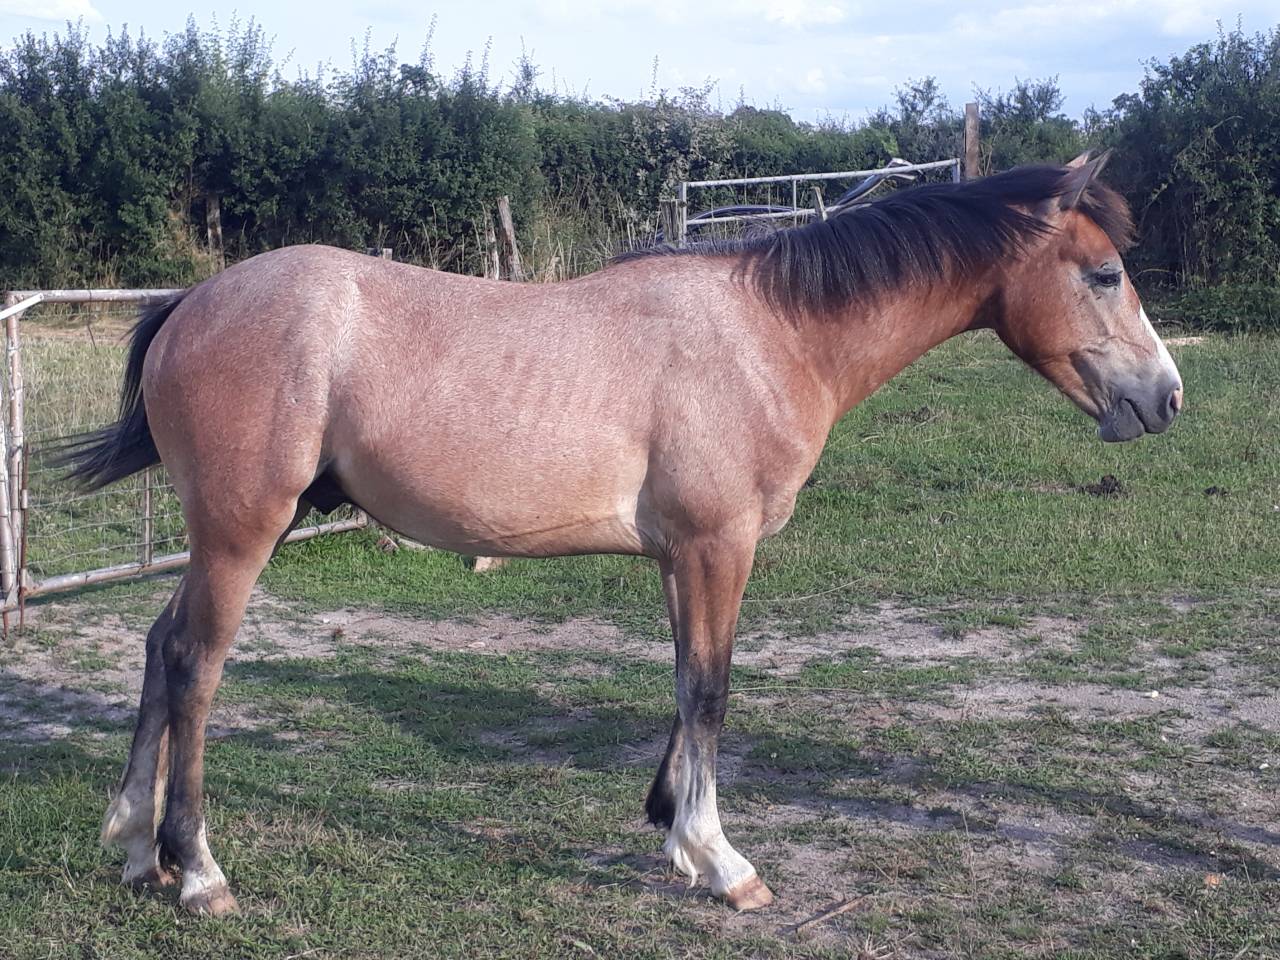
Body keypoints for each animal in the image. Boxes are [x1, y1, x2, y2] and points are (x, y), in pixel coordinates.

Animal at [64, 151, 1182, 916]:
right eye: (1102, 275)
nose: (1165, 397)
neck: (770, 335)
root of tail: (192, 304)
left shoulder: (681, 557)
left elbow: (685, 682)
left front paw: (671, 829)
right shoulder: (718, 546)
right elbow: (712, 690)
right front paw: (720, 860)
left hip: (219, 537)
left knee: (160, 647)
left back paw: (133, 844)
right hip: (240, 534)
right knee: (197, 665)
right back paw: (197, 872)